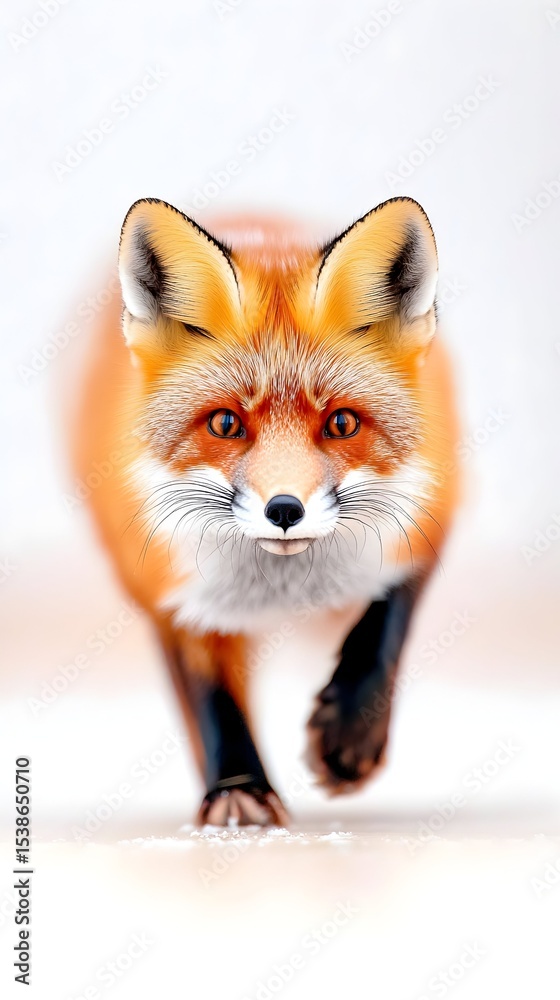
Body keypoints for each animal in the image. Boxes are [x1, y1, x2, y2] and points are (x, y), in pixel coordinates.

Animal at [72, 195, 459, 826]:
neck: (285, 589)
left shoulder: (433, 510)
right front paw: (238, 787)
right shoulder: (165, 588)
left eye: (342, 423)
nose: (284, 509)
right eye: (226, 424)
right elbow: (212, 698)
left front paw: (349, 736)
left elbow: (387, 617)